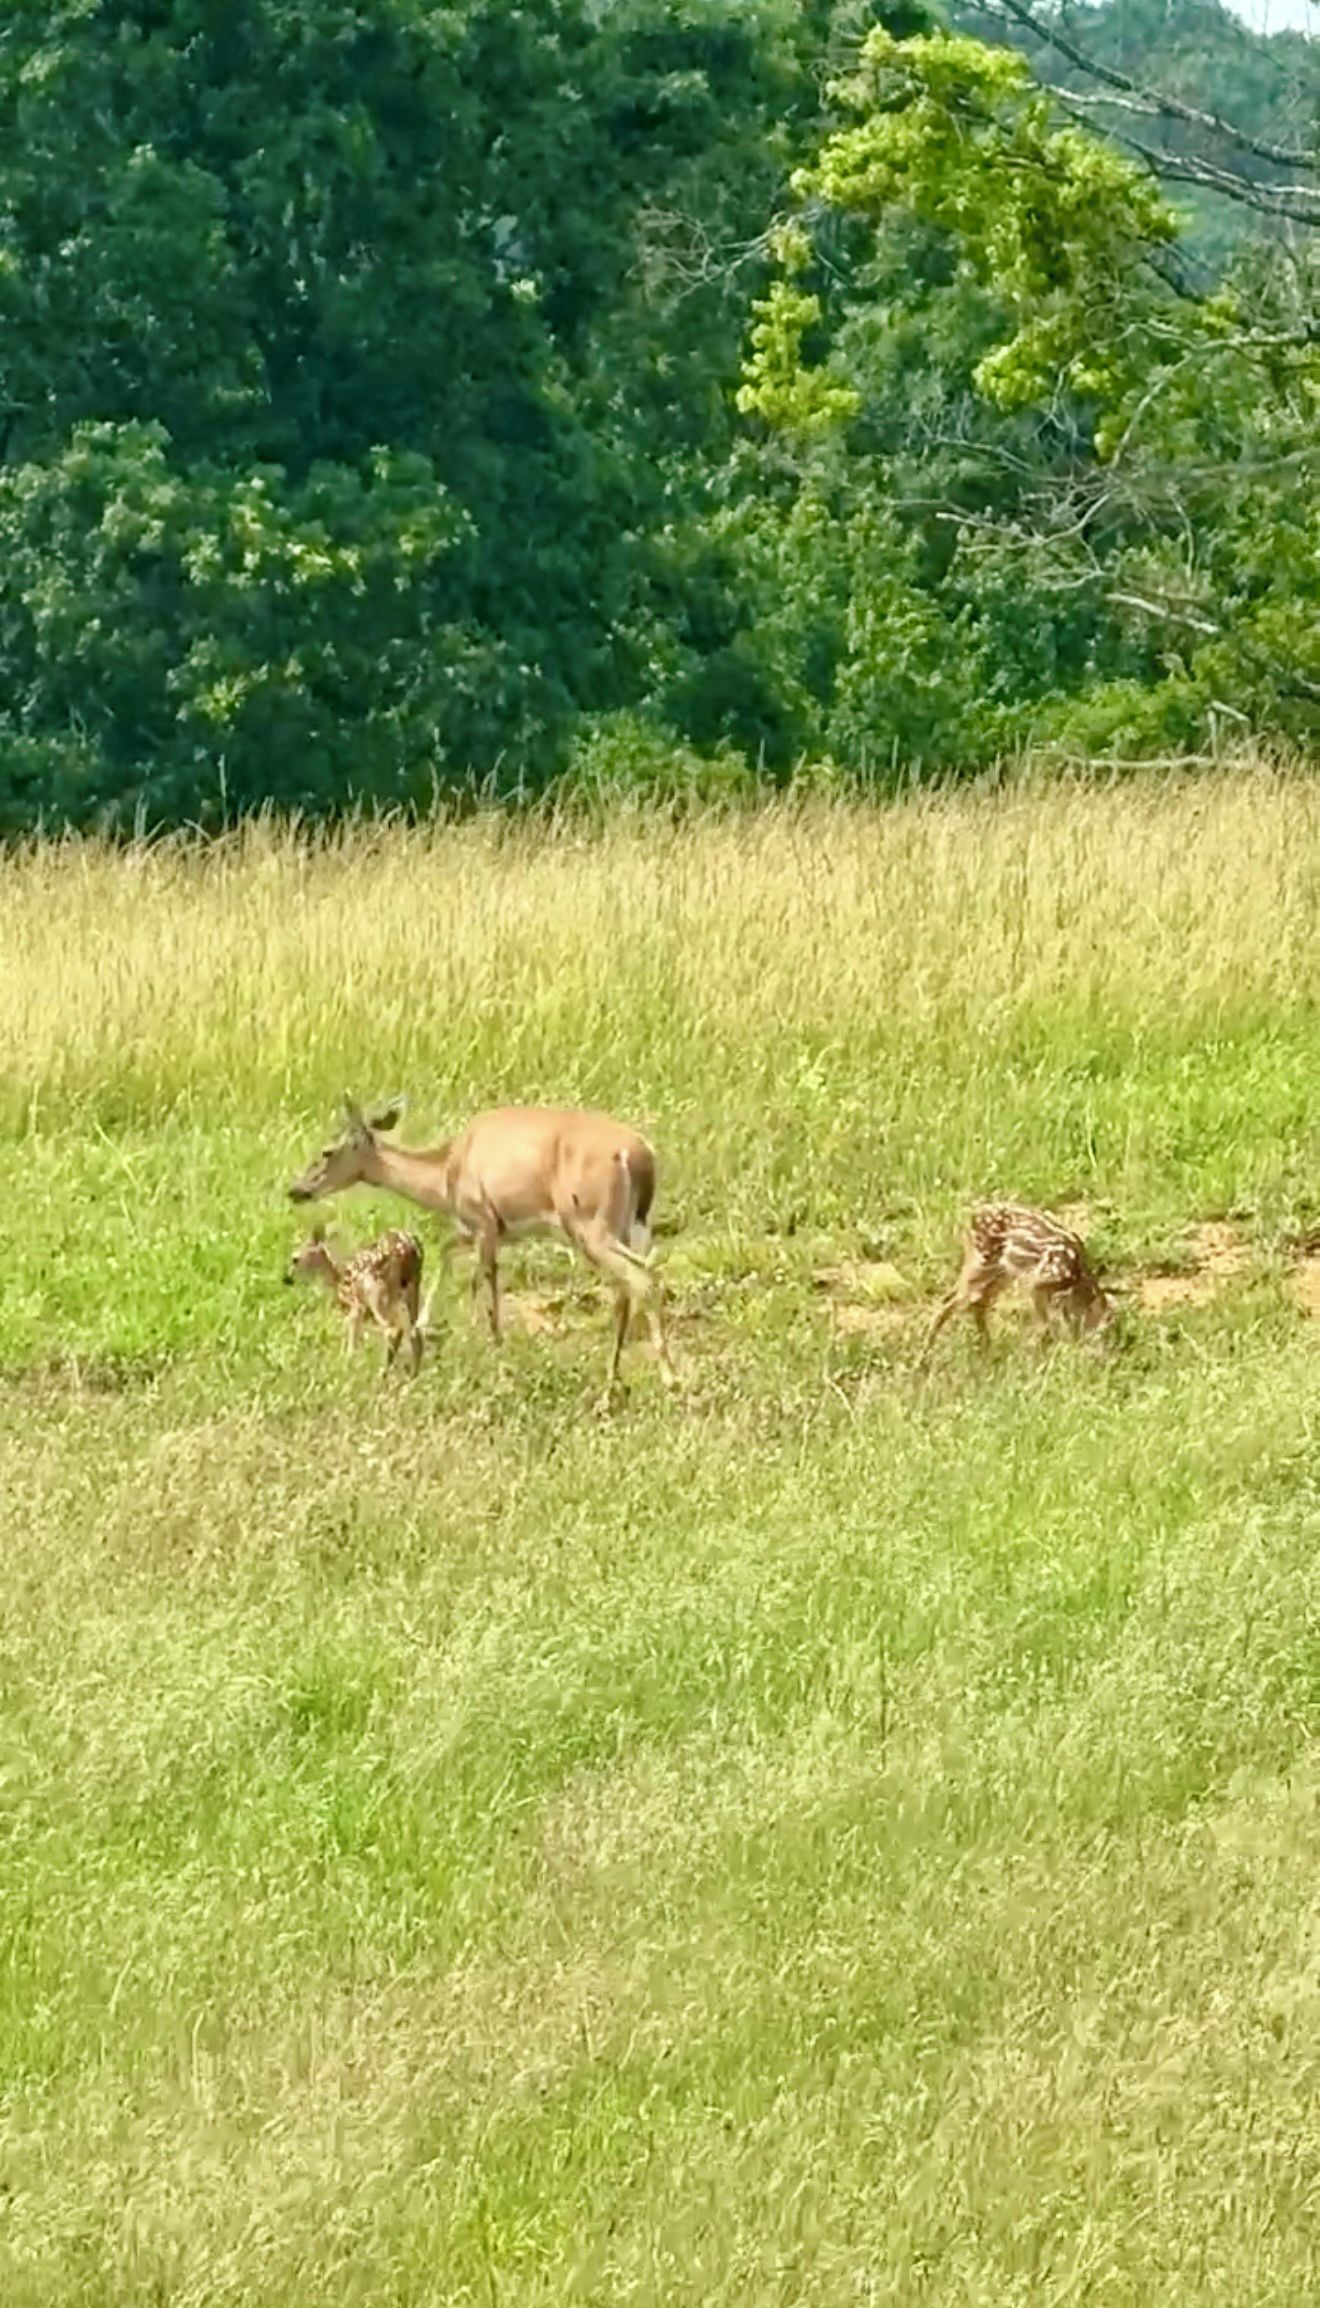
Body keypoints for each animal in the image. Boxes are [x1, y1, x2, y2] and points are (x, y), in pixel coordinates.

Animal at [284, 1222, 426, 1377]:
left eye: (294, 1259)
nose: (287, 1278)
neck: (338, 1282)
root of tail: (410, 1249)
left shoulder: (356, 1306)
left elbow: (350, 1333)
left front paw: (346, 1362)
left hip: (376, 1292)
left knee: (392, 1330)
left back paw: (383, 1372)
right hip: (412, 1288)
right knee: (415, 1331)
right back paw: (413, 1374)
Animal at [923, 1202, 1116, 1360]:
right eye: (1103, 1330)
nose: (1104, 1358)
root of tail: (971, 1219)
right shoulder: (1038, 1282)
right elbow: (1045, 1322)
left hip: (1000, 1273)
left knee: (975, 1303)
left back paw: (987, 1351)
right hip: (981, 1264)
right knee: (951, 1301)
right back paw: (925, 1358)